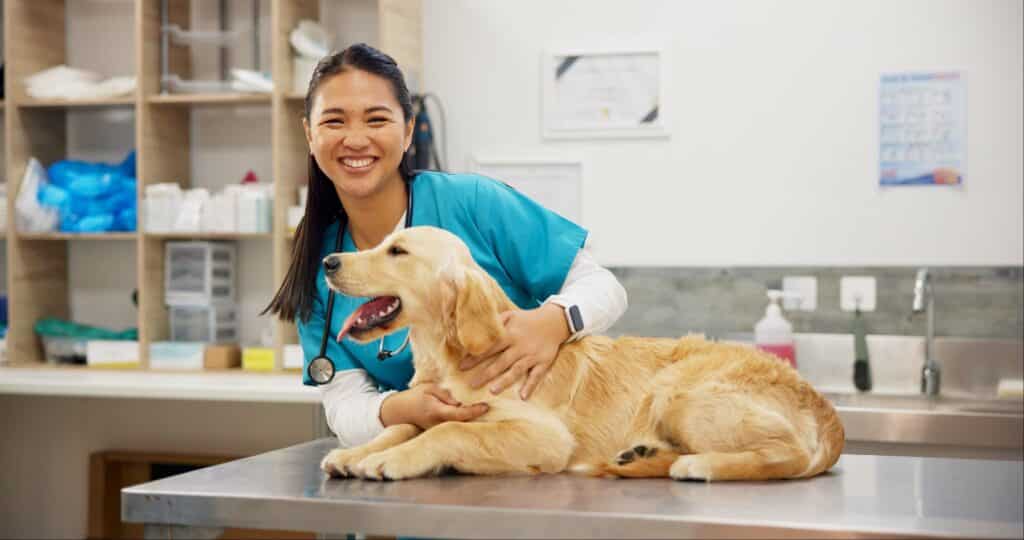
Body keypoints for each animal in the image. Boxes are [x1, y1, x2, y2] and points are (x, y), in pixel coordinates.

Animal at [317, 227, 839, 481]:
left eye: (397, 251)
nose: (328, 261)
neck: (448, 357)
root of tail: (824, 406)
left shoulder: (546, 437)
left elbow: (449, 431)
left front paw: (390, 461)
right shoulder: (430, 405)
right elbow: (404, 424)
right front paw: (358, 452)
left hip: (680, 392)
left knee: (787, 455)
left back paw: (698, 465)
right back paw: (643, 454)